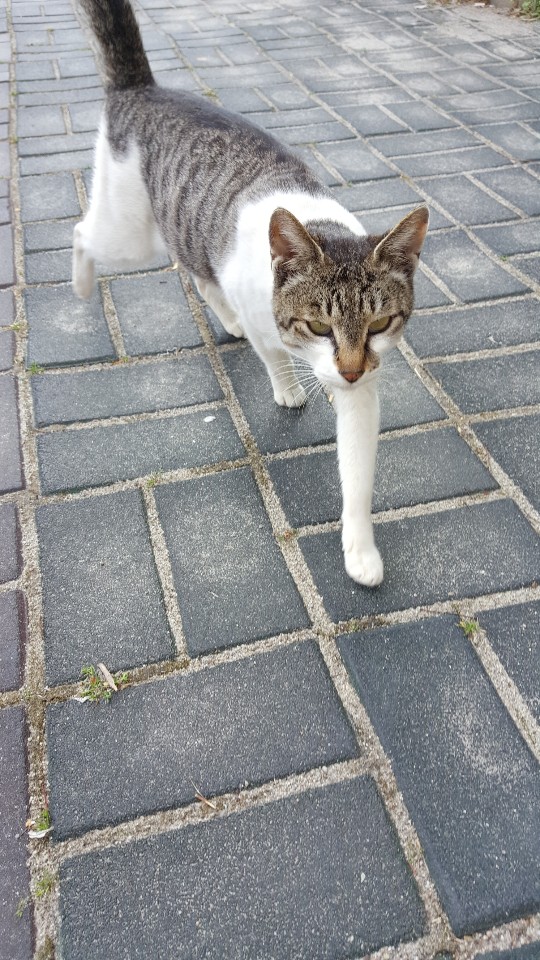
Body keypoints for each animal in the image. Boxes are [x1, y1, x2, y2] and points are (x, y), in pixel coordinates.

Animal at [74, 0, 429, 587]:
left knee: (196, 272)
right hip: (127, 235)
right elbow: (275, 358)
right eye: (319, 325)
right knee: (82, 233)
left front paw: (359, 549)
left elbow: (357, 474)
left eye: (379, 325)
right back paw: (81, 287)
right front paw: (288, 387)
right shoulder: (269, 323)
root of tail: (142, 88)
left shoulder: (364, 388)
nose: (351, 370)